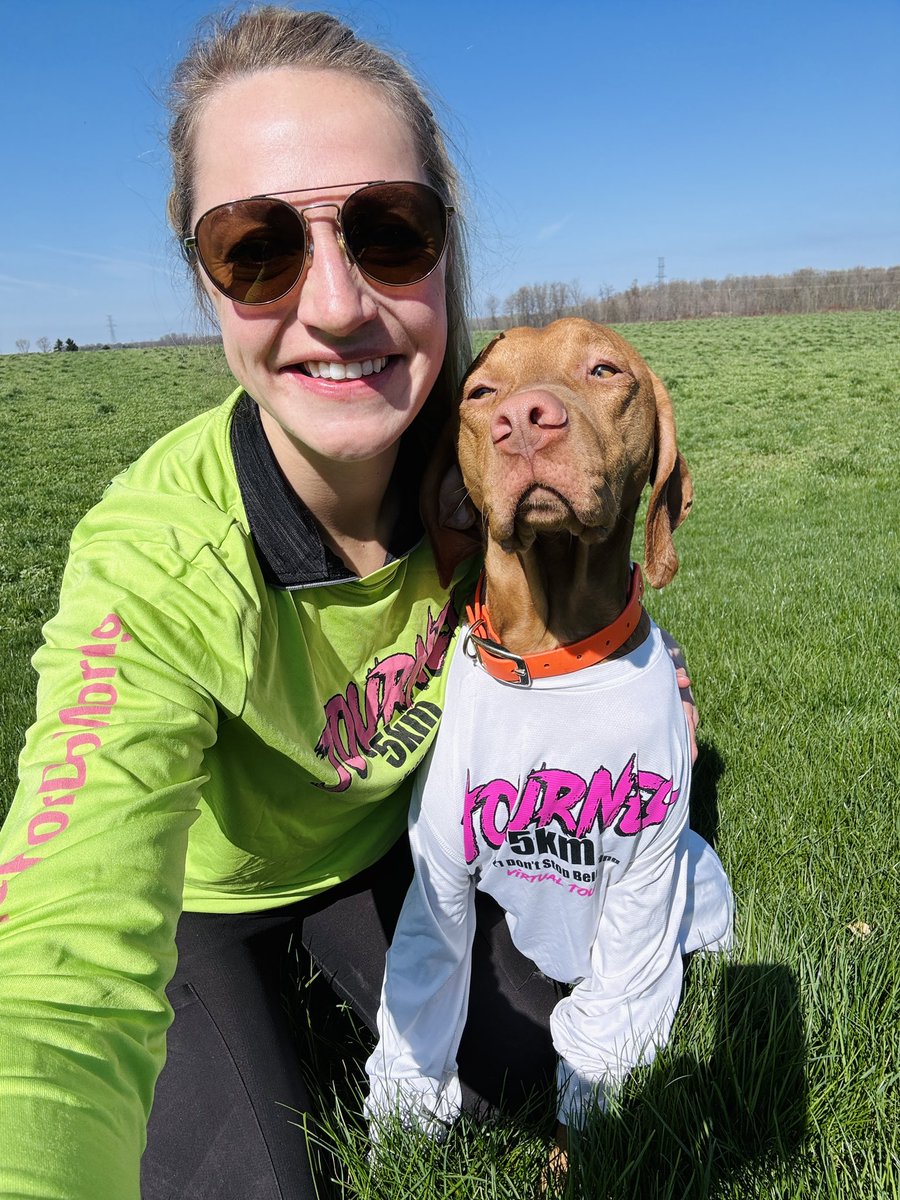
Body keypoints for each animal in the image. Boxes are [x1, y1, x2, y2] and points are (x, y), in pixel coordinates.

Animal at [367, 319, 734, 1180]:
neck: (553, 657)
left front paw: (583, 1150)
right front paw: (402, 1132)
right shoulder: (439, 881)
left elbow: (603, 1033)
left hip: (701, 884)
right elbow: (423, 1002)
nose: (524, 421)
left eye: (604, 370)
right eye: (480, 392)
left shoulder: (645, 884)